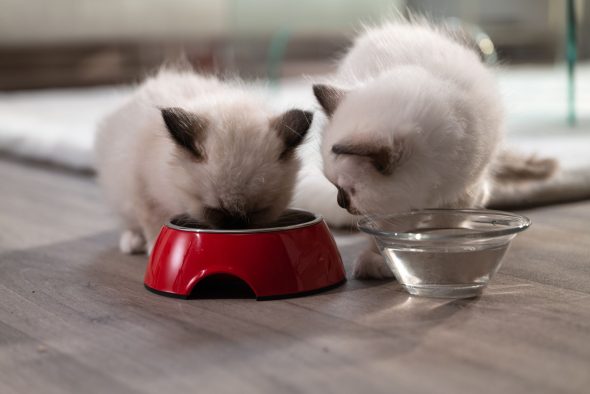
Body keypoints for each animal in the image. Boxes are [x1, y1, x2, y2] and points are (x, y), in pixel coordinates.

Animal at [95, 69, 314, 254]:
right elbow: (153, 223)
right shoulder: (143, 187)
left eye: (258, 212)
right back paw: (132, 242)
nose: (235, 228)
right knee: (129, 222)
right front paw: (154, 246)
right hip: (120, 192)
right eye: (214, 211)